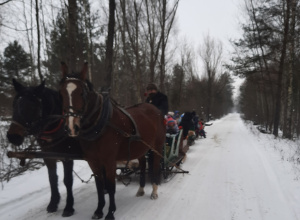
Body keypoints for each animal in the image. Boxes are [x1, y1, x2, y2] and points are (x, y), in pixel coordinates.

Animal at [59, 62, 165, 220]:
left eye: (82, 93)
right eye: (61, 93)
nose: (71, 127)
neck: (101, 125)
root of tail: (154, 108)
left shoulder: (109, 161)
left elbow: (110, 186)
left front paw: (110, 212)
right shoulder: (93, 161)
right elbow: (99, 185)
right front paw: (98, 211)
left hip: (156, 146)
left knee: (156, 166)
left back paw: (154, 190)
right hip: (140, 148)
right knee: (142, 164)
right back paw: (141, 189)